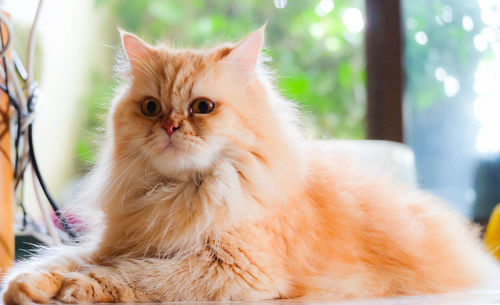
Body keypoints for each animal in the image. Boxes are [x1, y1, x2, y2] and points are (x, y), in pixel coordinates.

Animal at [1, 26, 498, 304]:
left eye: (201, 107)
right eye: (150, 108)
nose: (171, 126)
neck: (179, 194)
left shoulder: (234, 267)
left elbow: (131, 276)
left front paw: (74, 288)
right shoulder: (121, 243)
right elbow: (63, 257)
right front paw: (29, 285)